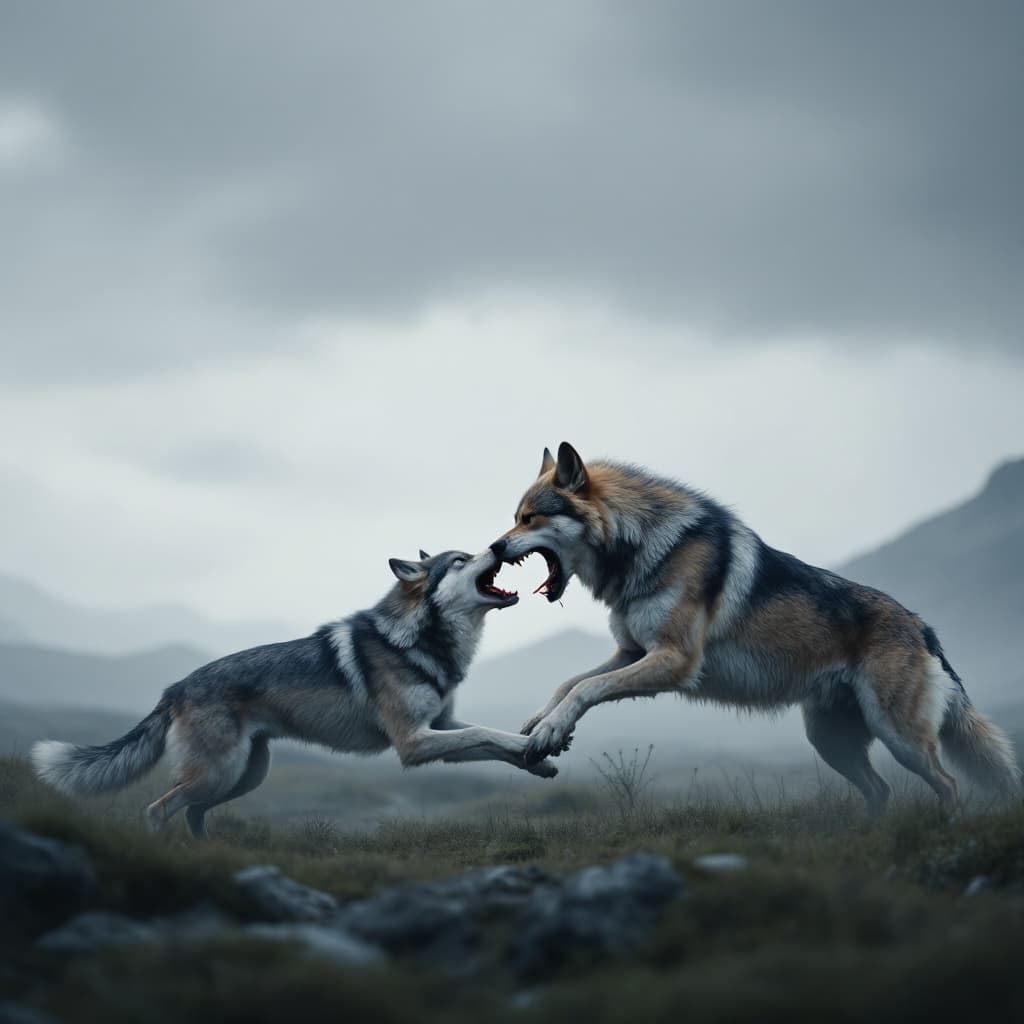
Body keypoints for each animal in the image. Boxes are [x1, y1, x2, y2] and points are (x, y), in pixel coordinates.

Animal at [31, 547, 556, 837]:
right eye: (463, 560)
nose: (499, 544)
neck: (422, 641)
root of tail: (174, 689)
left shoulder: (440, 728)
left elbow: (490, 739)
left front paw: (540, 759)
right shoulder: (414, 742)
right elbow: (489, 733)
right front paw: (535, 744)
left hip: (243, 776)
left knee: (192, 814)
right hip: (220, 774)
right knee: (158, 809)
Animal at [490, 442, 1019, 814]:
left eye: (530, 518)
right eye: (514, 519)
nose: (493, 547)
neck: (639, 545)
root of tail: (924, 628)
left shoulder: (673, 659)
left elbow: (586, 689)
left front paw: (551, 729)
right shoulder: (631, 651)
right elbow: (569, 683)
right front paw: (541, 724)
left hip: (899, 738)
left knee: (948, 784)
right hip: (832, 742)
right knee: (881, 789)